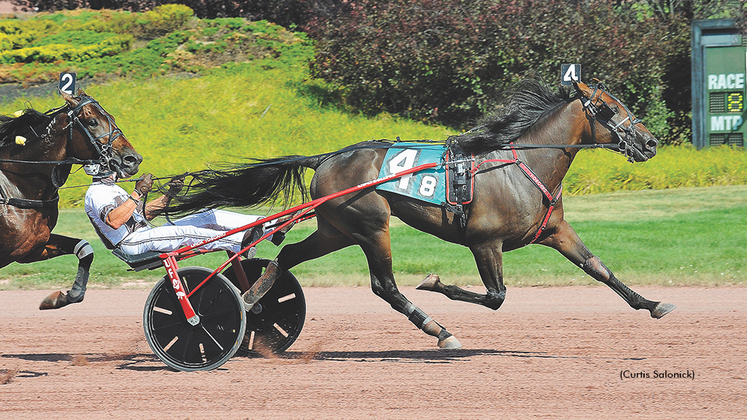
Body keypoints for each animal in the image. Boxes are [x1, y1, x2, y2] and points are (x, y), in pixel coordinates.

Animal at [0, 90, 142, 310]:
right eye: (92, 121)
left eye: (112, 117)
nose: (132, 159)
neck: (16, 185)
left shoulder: (32, 248)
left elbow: (85, 249)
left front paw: (64, 296)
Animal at [169, 80, 676, 350]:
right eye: (609, 108)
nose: (650, 142)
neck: (520, 164)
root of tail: (327, 157)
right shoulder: (484, 242)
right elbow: (495, 297)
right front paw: (434, 283)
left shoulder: (554, 231)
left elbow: (600, 269)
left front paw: (652, 304)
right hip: (371, 225)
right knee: (384, 285)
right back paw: (438, 329)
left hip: (337, 228)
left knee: (288, 255)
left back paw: (251, 301)